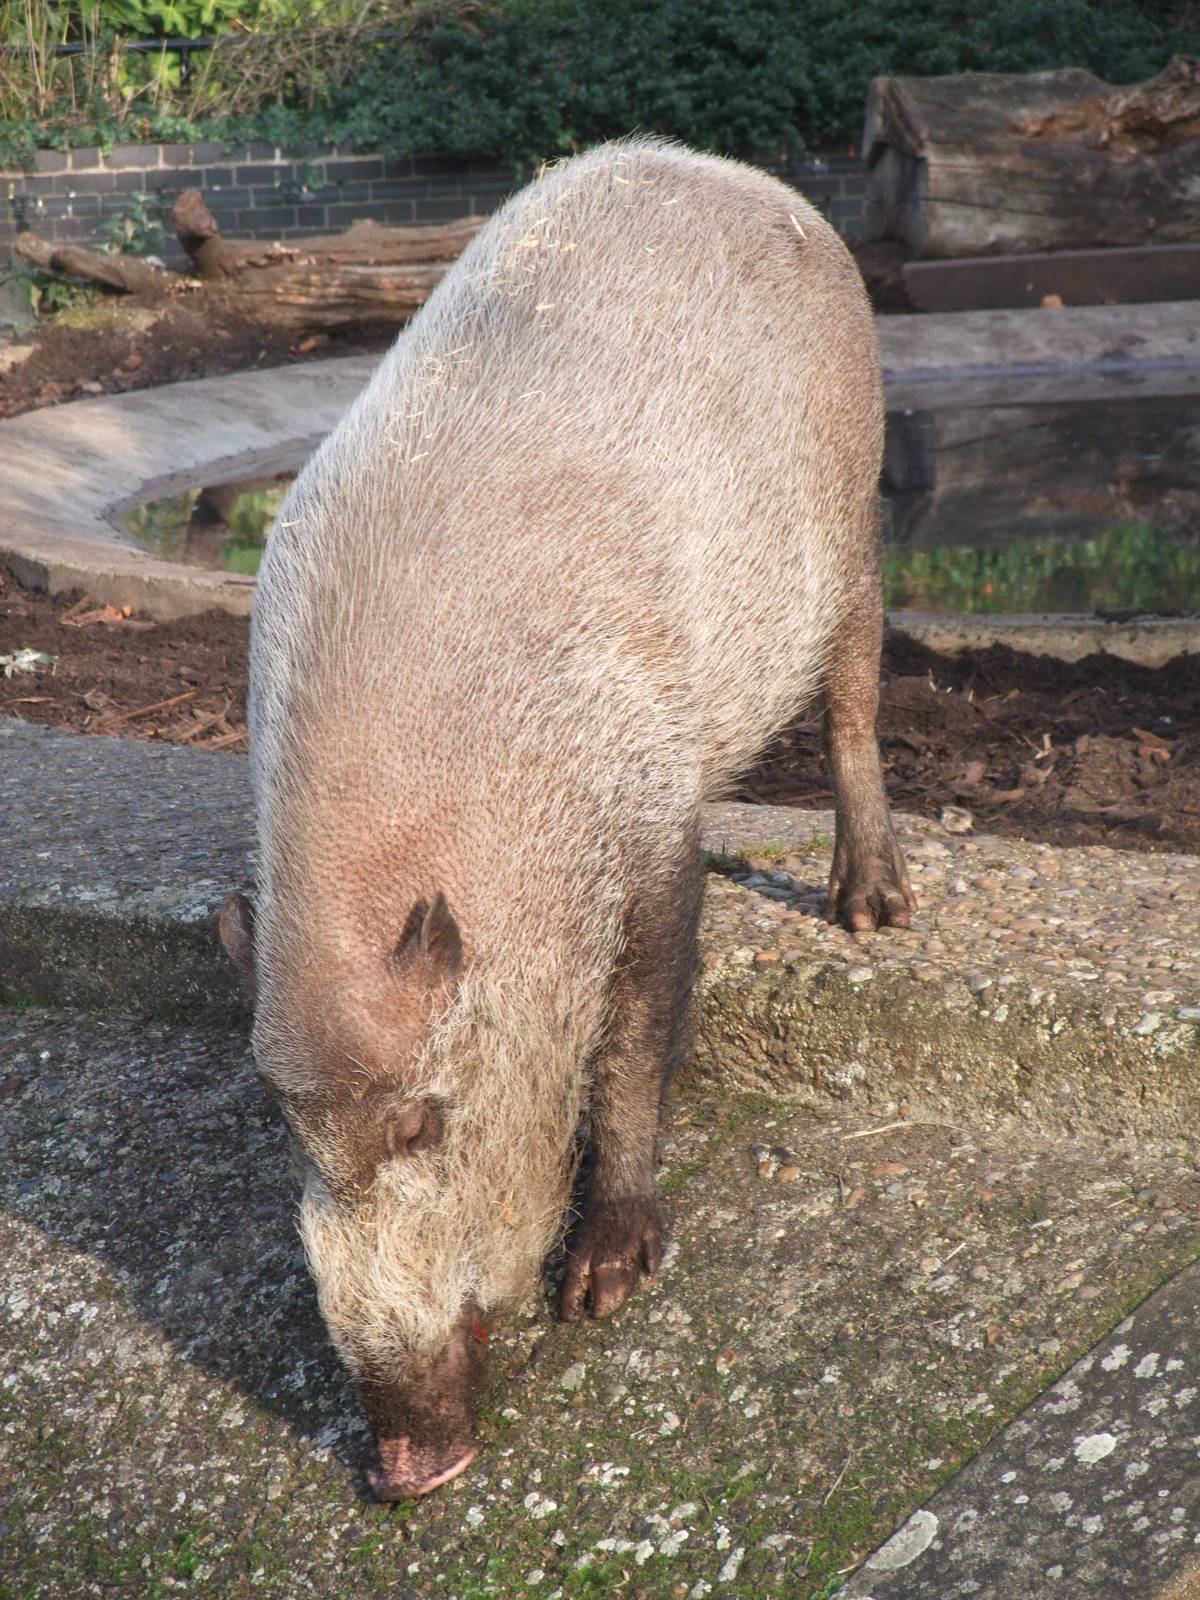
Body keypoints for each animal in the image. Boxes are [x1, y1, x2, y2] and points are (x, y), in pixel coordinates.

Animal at [219, 137, 915, 1500]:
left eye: (422, 1119)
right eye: (288, 1127)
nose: (404, 1470)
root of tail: (747, 180)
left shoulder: (650, 830)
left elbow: (636, 1040)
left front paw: (604, 1290)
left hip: (853, 512)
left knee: (857, 694)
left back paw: (872, 912)